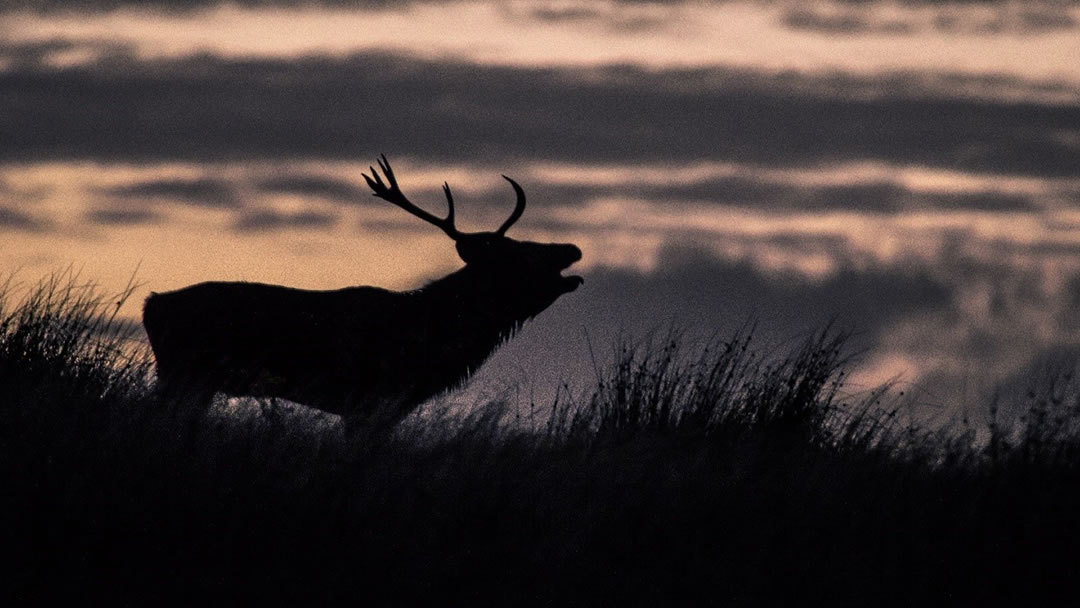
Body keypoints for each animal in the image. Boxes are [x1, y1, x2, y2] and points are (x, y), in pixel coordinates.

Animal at [142, 156, 582, 443]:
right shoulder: (368, 398)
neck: (430, 343)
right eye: (518, 254)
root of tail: (152, 305)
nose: (572, 248)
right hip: (184, 372)